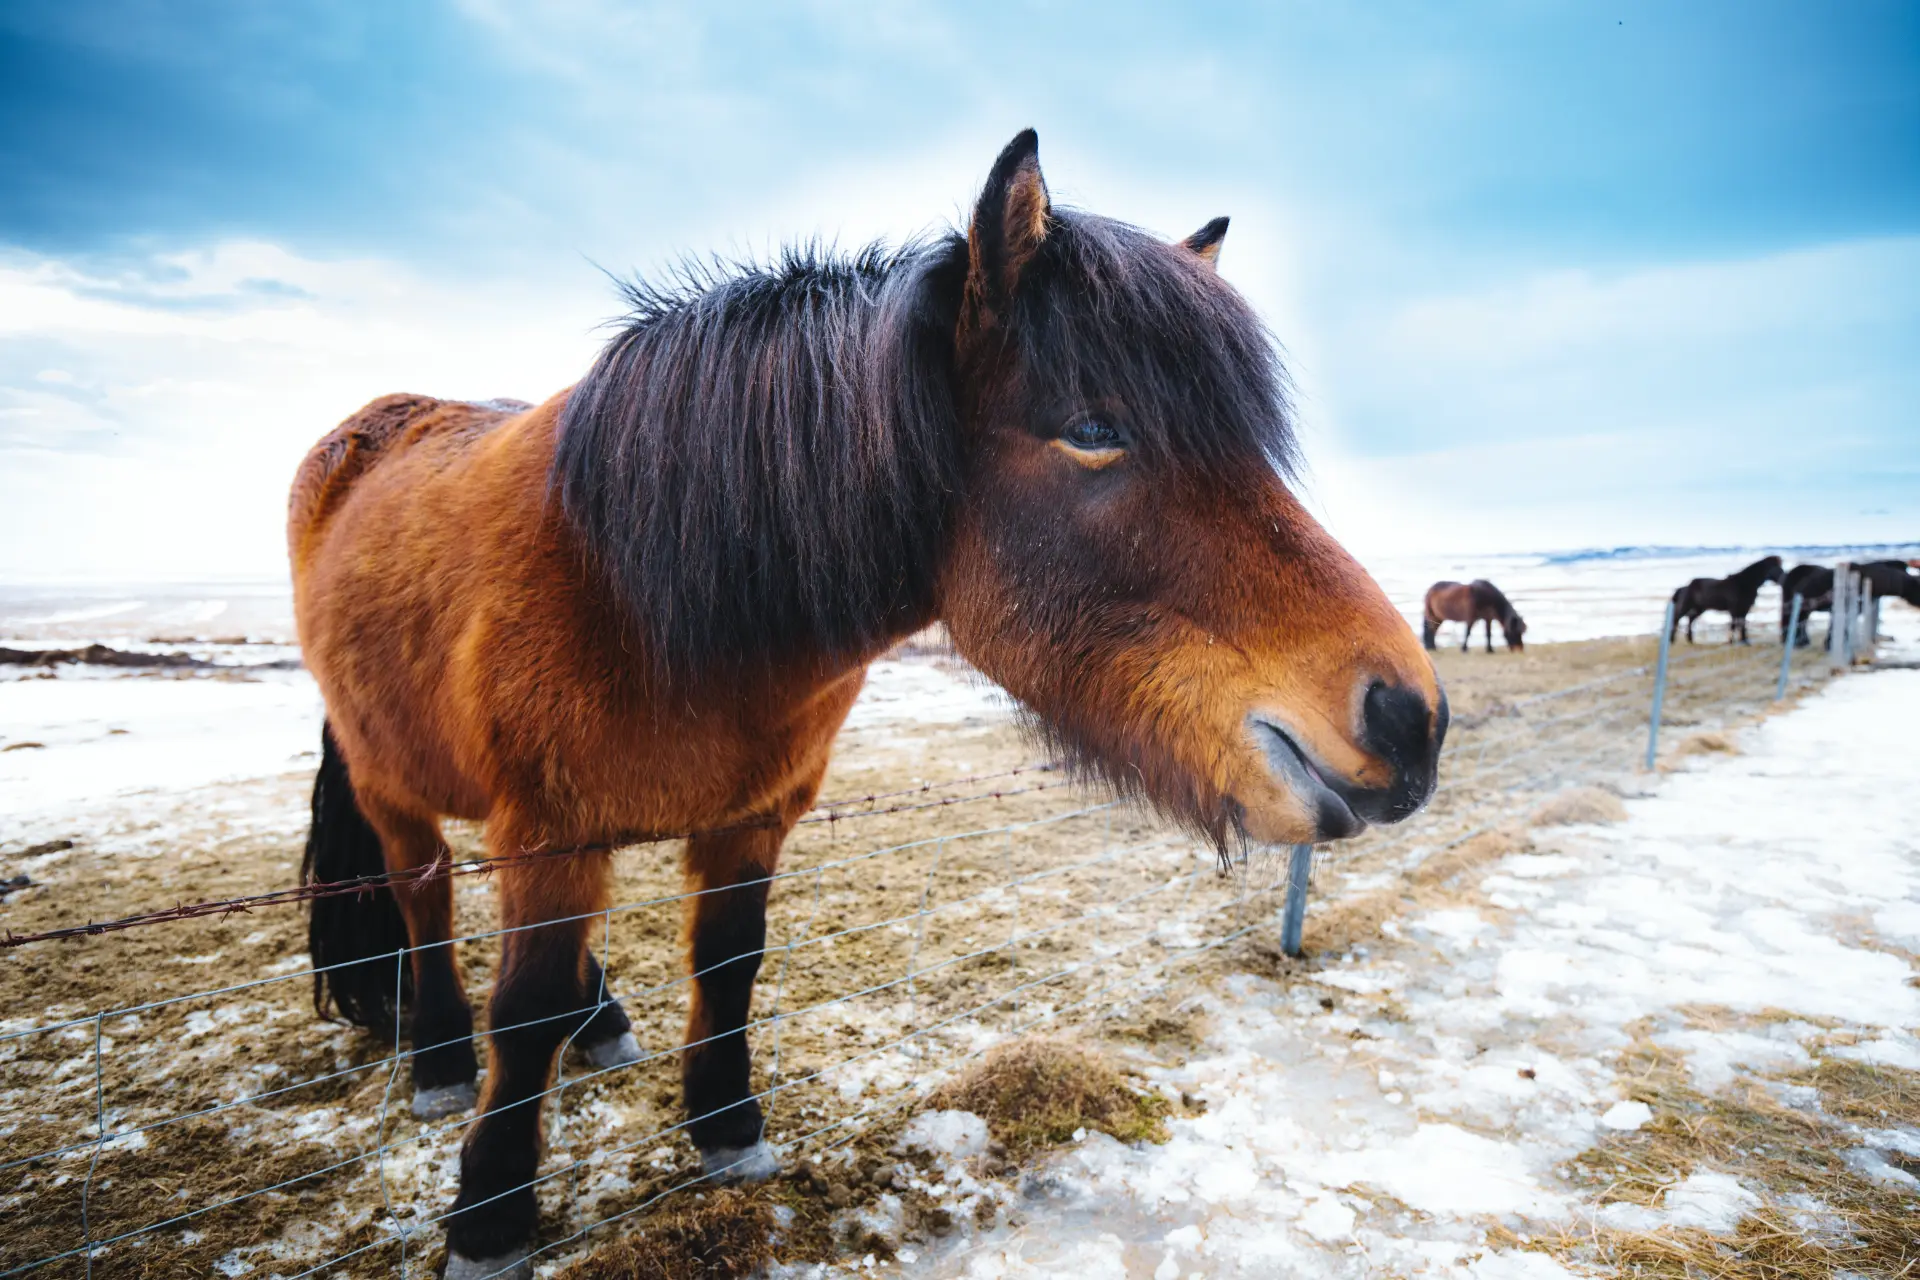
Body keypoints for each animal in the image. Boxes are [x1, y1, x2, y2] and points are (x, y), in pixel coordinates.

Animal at [289, 130, 1447, 1279]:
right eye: (1092, 427)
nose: (1411, 718)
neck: (639, 585)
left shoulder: (753, 817)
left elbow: (729, 965)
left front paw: (727, 1128)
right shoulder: (549, 834)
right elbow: (521, 1014)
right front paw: (490, 1218)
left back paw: (599, 1017)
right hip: (392, 782)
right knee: (424, 898)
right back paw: (443, 1059)